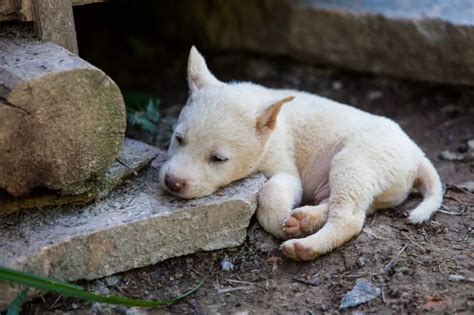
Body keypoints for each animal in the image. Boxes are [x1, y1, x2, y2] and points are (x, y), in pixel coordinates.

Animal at [160, 48, 444, 262]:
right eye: (178, 139)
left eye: (218, 159)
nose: (172, 182)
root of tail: (418, 154)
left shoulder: (286, 171)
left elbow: (270, 192)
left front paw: (278, 222)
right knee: (349, 205)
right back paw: (305, 220)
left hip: (355, 160)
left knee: (350, 217)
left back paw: (305, 245)